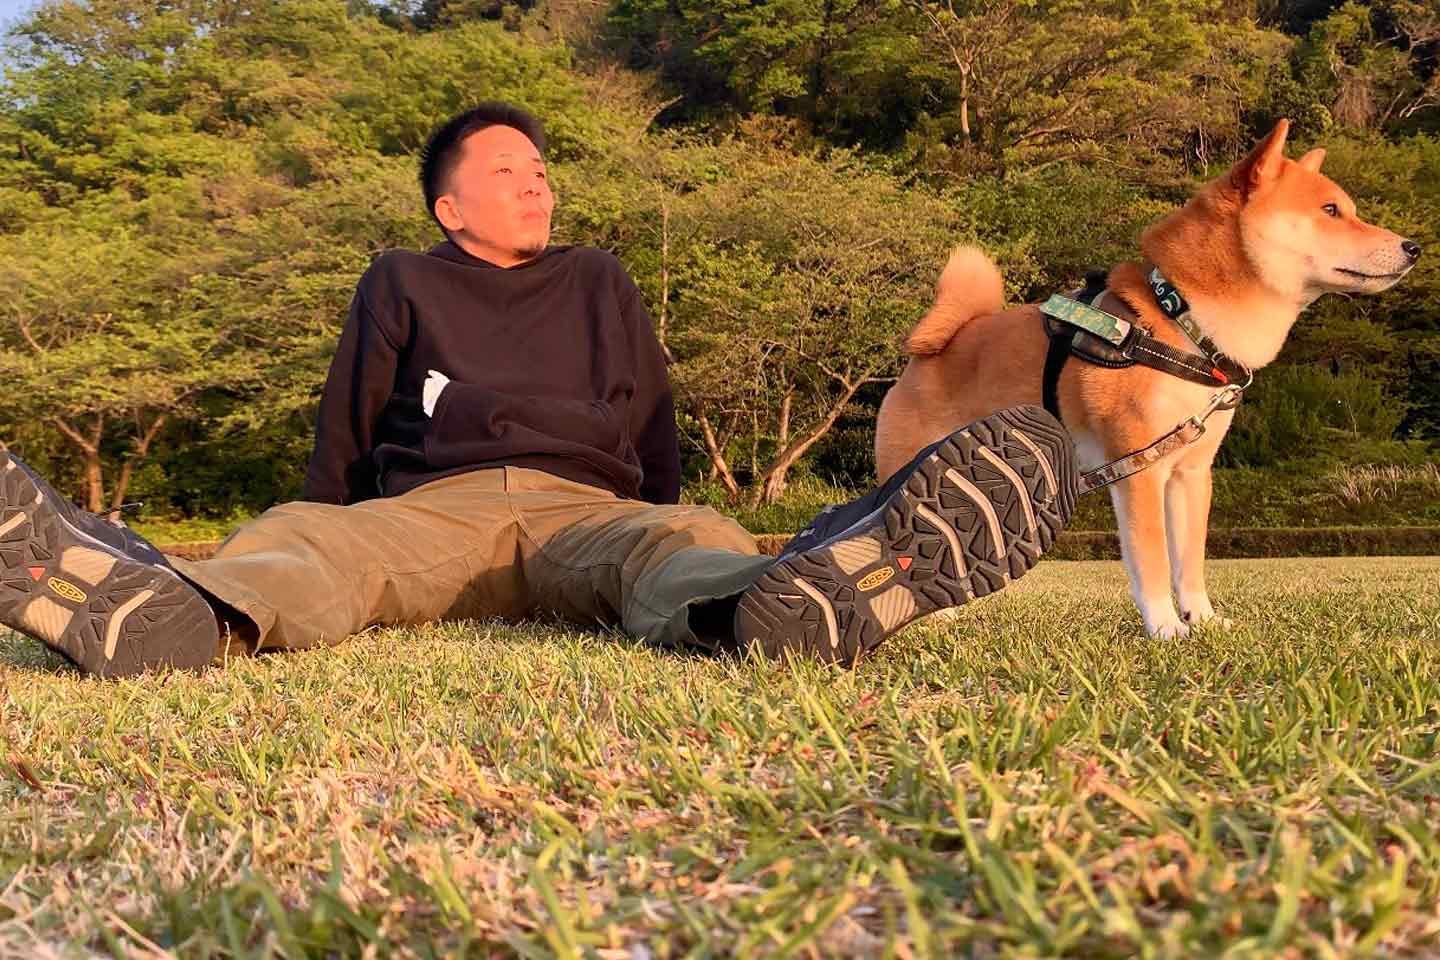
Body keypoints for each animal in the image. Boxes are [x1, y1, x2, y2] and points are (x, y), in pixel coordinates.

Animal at [875, 123, 1416, 641]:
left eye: (1348, 209)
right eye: (1330, 210)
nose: (1412, 246)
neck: (1184, 322)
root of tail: (935, 345)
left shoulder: (1191, 472)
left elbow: (1189, 562)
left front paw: (1202, 620)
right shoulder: (1139, 467)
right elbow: (1152, 560)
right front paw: (1165, 628)